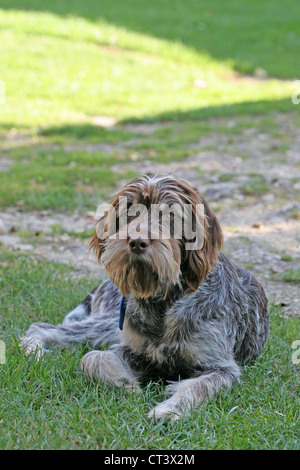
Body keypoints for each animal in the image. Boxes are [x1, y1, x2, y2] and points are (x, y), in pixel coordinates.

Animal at [21, 174, 270, 420]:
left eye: (171, 214)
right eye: (129, 210)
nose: (137, 242)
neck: (164, 301)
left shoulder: (221, 367)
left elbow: (198, 386)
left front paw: (169, 408)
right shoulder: (130, 348)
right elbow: (92, 359)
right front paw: (124, 384)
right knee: (42, 327)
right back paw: (33, 352)